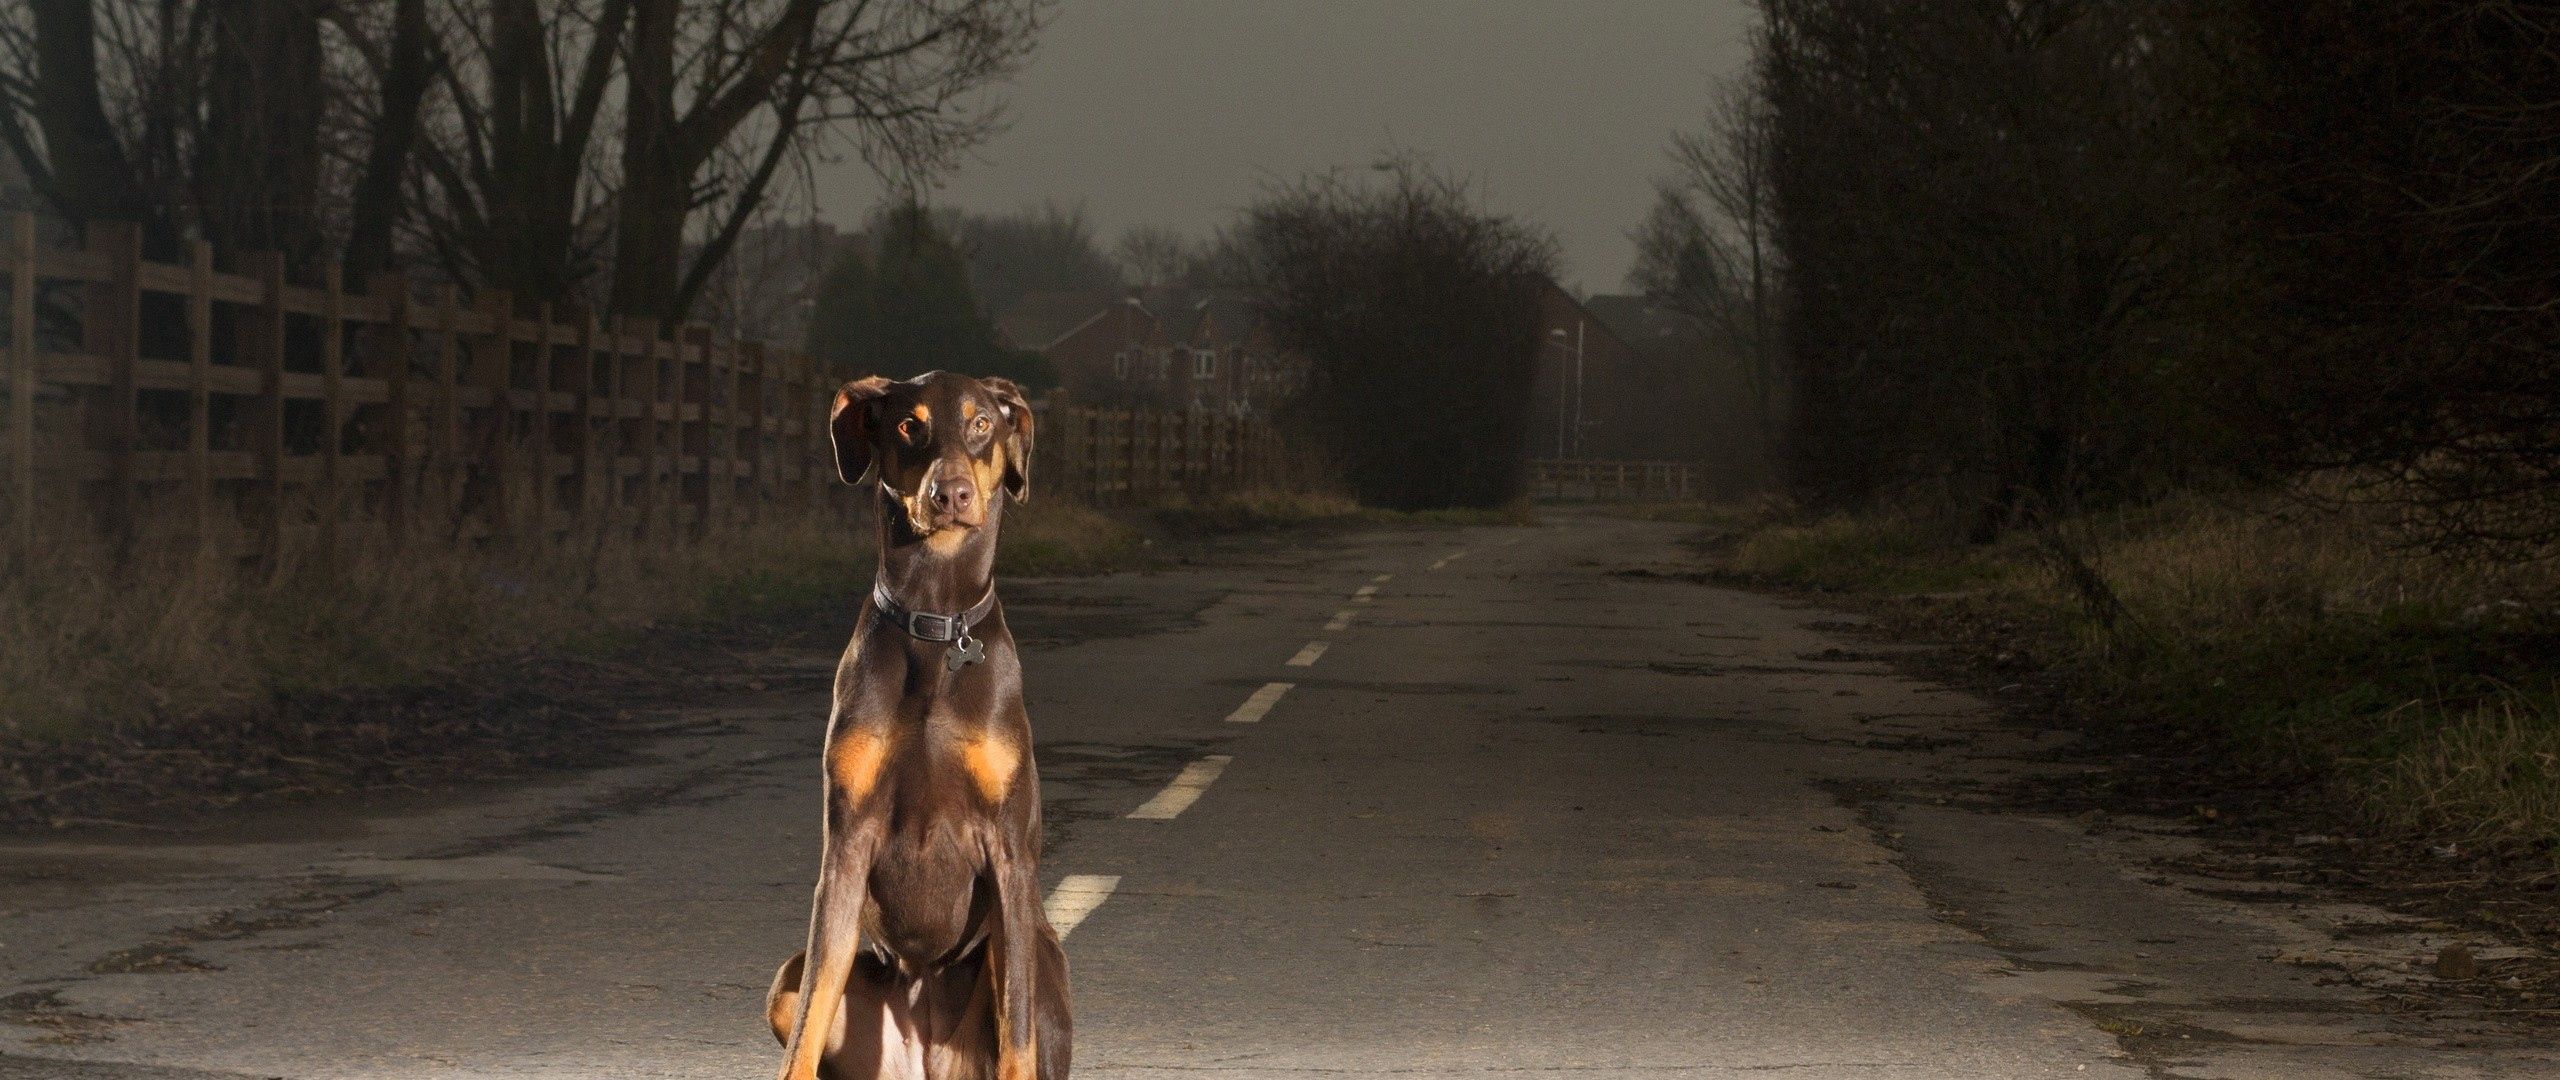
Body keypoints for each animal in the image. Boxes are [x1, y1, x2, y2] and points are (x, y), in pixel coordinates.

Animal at [762, 371, 1075, 1080]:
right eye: (909, 424)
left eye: (983, 423)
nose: (949, 492)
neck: (936, 623)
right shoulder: (846, 848)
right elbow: (809, 1020)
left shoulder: (1009, 853)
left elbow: (1017, 1031)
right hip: (788, 981)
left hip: (1043, 960)